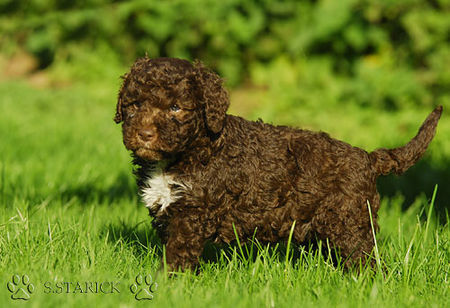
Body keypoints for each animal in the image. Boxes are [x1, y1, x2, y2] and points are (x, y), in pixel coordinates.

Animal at [114, 56, 442, 272]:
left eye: (176, 108)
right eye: (135, 105)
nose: (145, 134)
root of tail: (368, 157)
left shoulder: (192, 213)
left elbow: (178, 253)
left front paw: (169, 283)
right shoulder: (168, 213)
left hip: (350, 220)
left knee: (366, 260)